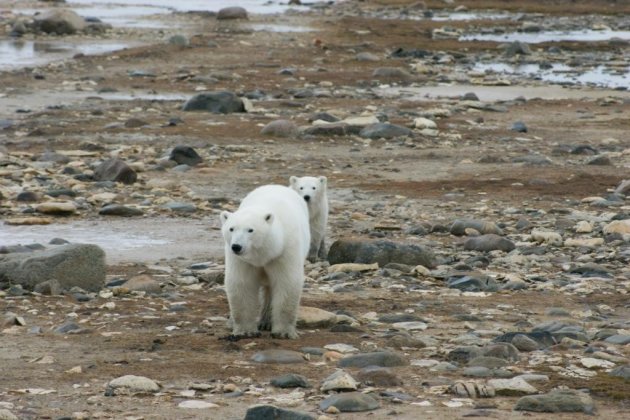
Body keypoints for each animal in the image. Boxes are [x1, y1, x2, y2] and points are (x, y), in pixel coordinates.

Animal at [221, 185, 312, 340]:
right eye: (231, 228)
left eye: (250, 230)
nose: (236, 246)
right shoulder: (242, 260)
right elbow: (242, 283)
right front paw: (246, 331)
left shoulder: (284, 251)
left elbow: (287, 282)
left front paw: (283, 332)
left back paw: (266, 322)